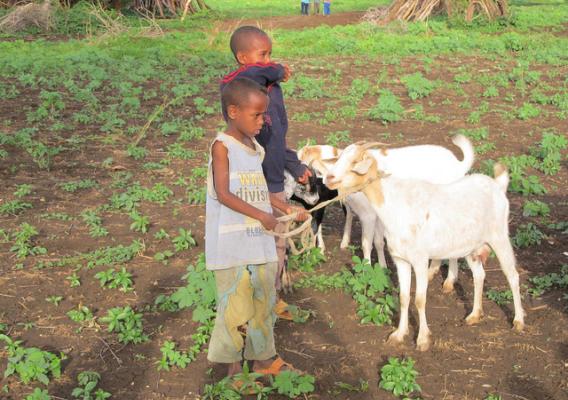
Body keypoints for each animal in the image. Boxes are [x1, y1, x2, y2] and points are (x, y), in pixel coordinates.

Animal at [298, 134, 474, 290]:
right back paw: (432, 271)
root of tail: (459, 165)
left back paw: (449, 281)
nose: (330, 178)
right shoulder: (378, 215)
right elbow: (378, 242)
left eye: (355, 162)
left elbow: (366, 243)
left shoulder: (368, 216)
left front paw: (366, 271)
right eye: (339, 160)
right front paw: (382, 267)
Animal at [322, 143, 524, 350]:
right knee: (479, 275)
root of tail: (497, 185)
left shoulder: (420, 260)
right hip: (471, 246)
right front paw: (398, 334)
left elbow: (420, 300)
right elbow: (403, 298)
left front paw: (423, 339)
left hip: (499, 237)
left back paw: (518, 321)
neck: (395, 205)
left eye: (355, 162)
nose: (328, 178)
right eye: (339, 158)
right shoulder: (400, 259)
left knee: (512, 275)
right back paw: (474, 315)